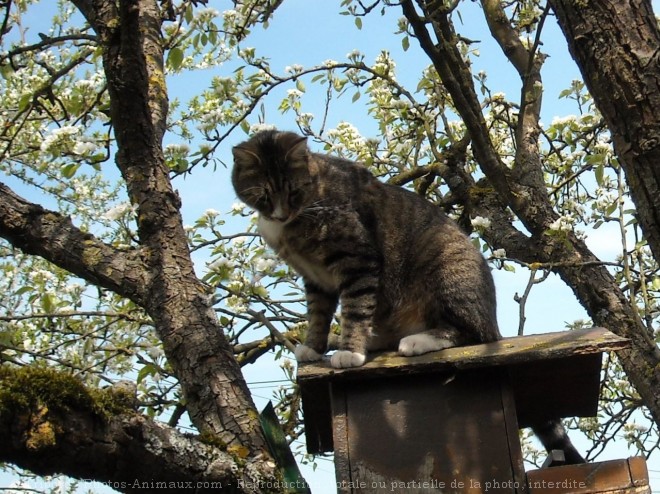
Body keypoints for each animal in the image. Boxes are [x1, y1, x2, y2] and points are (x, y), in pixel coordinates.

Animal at [233, 129, 588, 466]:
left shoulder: (358, 261)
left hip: (447, 270)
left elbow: (355, 309)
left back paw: (417, 341)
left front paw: (349, 352)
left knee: (468, 333)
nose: (280, 214)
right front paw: (313, 348)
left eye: (293, 191)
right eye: (264, 196)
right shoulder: (315, 280)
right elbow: (318, 315)